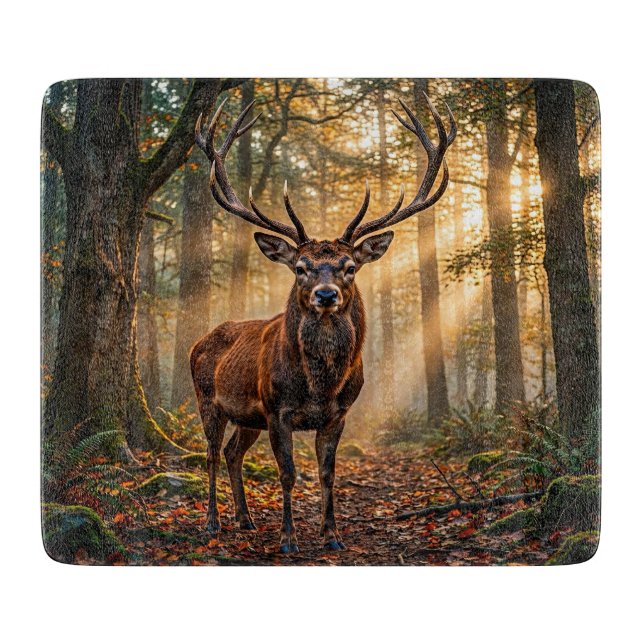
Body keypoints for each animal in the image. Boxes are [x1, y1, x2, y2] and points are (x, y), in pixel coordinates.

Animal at [190, 91, 456, 553]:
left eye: (349, 266)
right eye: (301, 267)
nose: (326, 295)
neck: (319, 384)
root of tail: (197, 343)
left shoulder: (338, 413)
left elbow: (328, 473)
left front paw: (332, 535)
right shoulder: (277, 409)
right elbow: (288, 474)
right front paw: (288, 538)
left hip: (247, 416)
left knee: (232, 452)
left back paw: (245, 519)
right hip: (209, 399)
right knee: (208, 455)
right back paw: (213, 522)